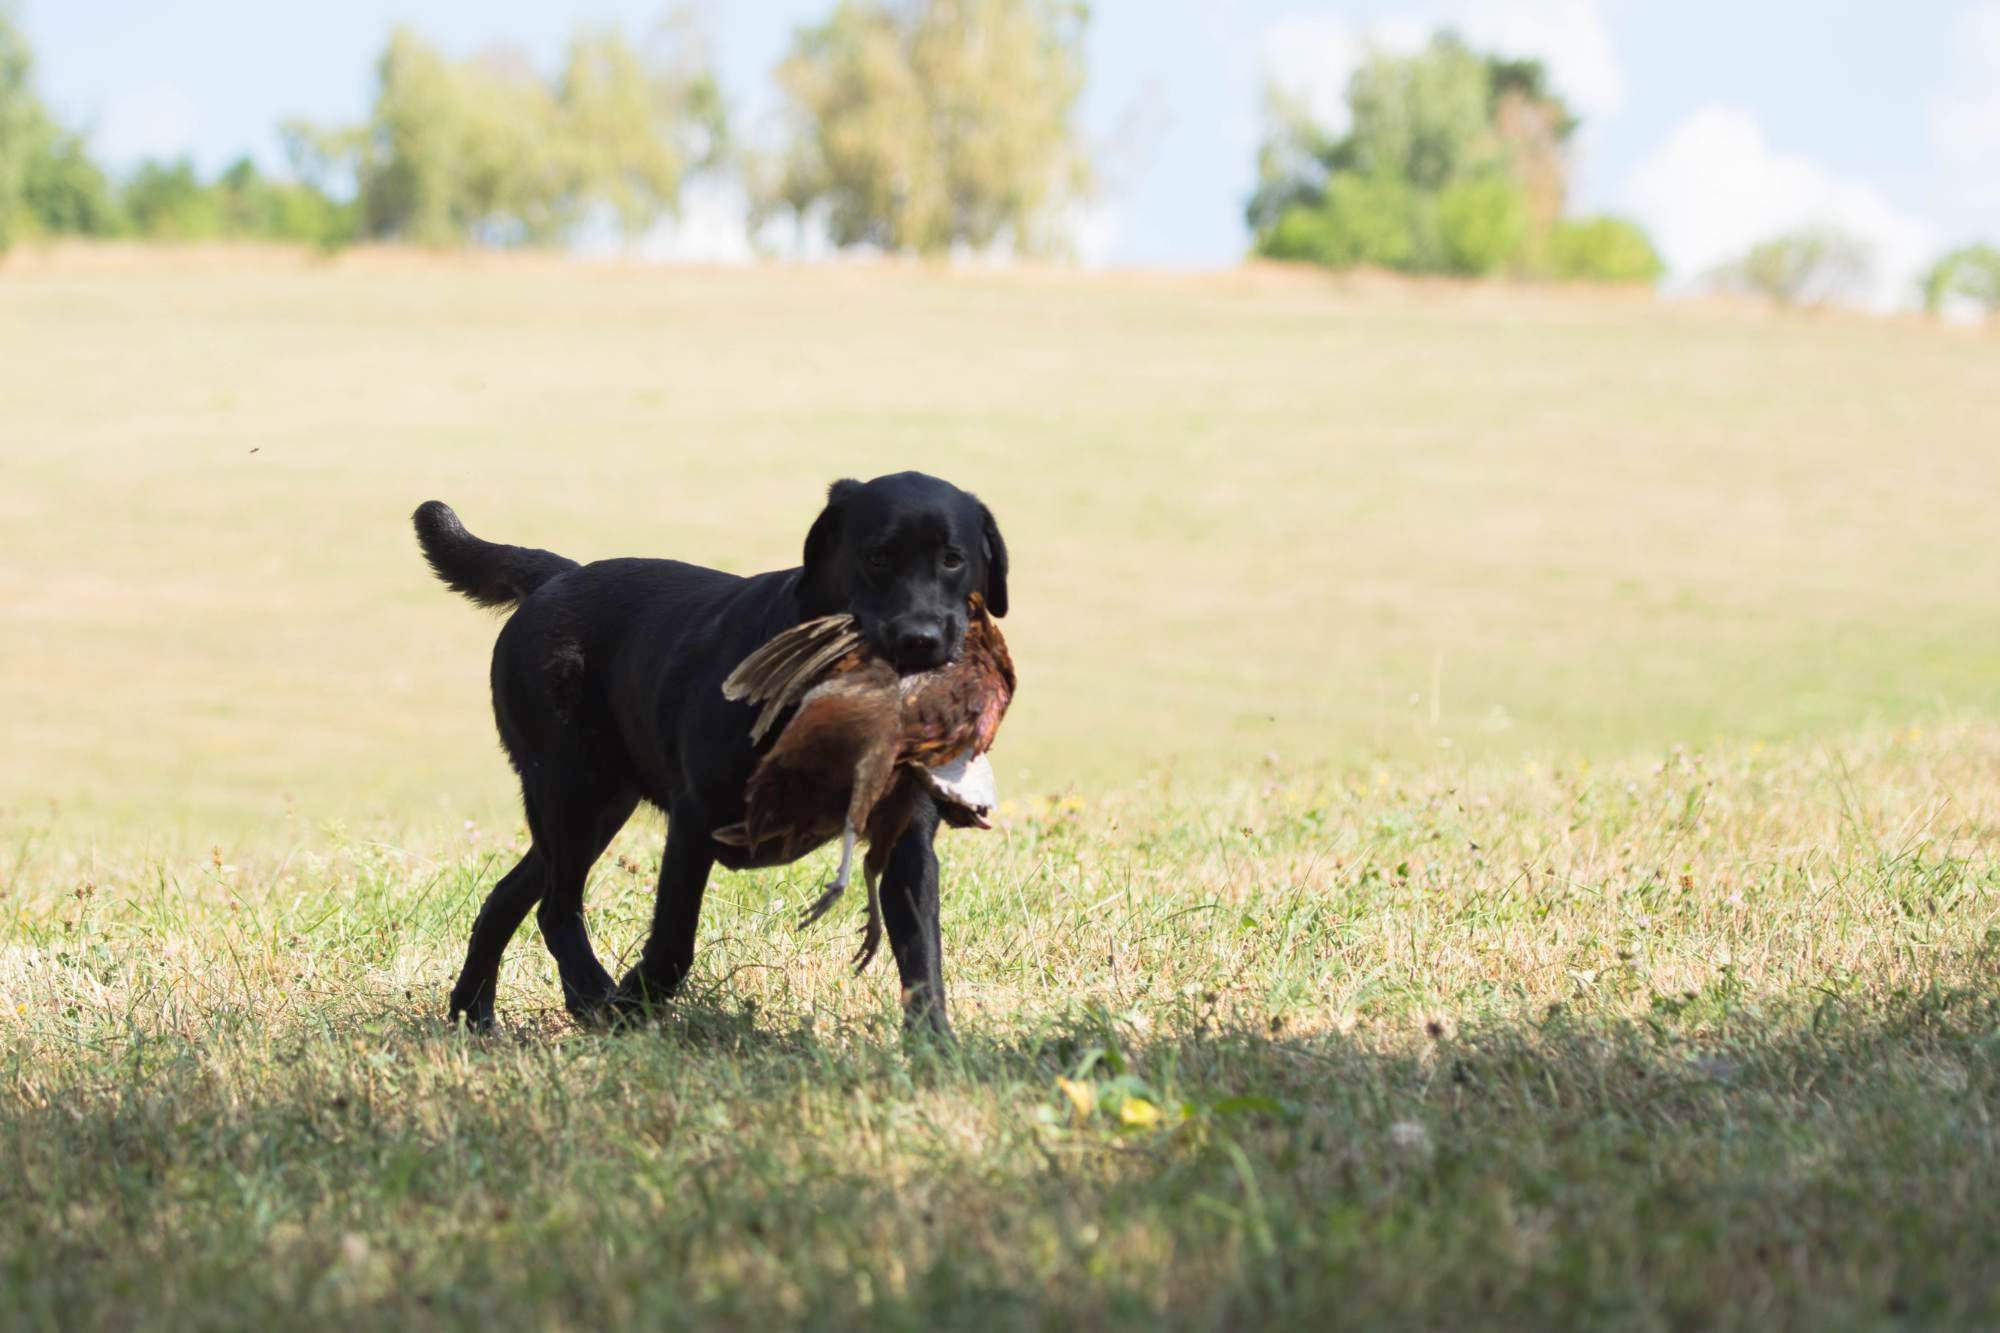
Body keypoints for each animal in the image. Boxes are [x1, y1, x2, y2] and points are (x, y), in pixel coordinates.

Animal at [414, 472, 1008, 1032]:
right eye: (878, 557)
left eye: (953, 559)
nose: (921, 639)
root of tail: (558, 575)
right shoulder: (696, 817)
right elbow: (674, 941)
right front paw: (632, 1002)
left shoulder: (908, 843)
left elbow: (922, 956)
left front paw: (933, 1044)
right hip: (570, 789)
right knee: (555, 908)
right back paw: (593, 996)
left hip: (596, 805)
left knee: (509, 896)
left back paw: (474, 1011)